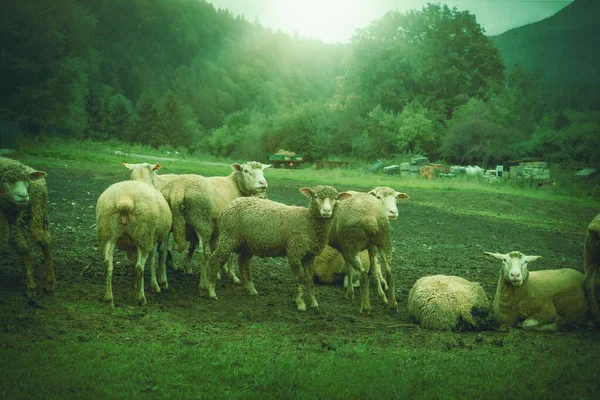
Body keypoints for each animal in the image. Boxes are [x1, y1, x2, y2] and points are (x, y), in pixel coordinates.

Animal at [0, 158, 54, 298]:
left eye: (27, 180)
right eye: (4, 180)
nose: (23, 196)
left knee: (23, 248)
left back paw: (32, 287)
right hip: (41, 214)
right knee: (44, 243)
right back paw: (49, 283)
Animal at [95, 162, 171, 306]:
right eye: (155, 172)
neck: (141, 180)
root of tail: (125, 200)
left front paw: (137, 285)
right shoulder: (154, 239)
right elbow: (153, 259)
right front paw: (155, 285)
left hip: (107, 235)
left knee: (107, 265)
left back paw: (108, 299)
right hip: (143, 236)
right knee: (139, 268)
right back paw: (141, 299)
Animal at [205, 186, 350, 310]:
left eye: (336, 198)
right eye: (315, 196)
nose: (326, 211)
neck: (307, 222)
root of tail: (229, 205)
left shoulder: (310, 255)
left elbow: (309, 278)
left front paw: (313, 302)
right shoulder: (294, 252)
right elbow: (300, 278)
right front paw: (301, 303)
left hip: (249, 244)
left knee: (242, 261)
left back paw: (250, 289)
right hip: (229, 236)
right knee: (214, 259)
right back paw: (211, 290)